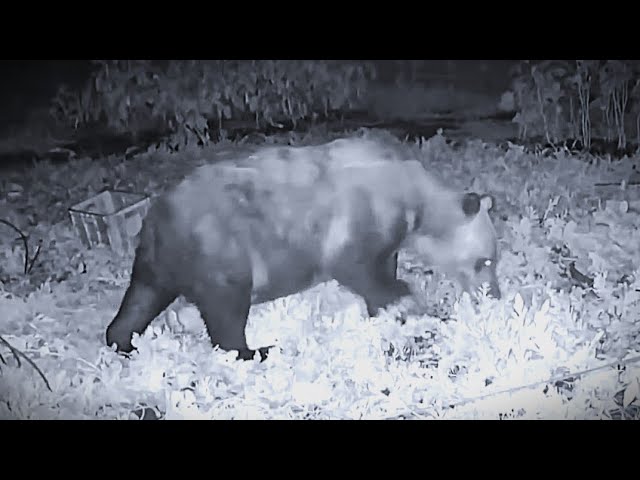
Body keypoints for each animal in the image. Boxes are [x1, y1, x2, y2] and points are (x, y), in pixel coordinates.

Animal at [106, 135, 500, 361]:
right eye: (484, 262)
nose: (493, 295)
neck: (415, 200)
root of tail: (157, 219)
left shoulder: (387, 231)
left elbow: (381, 266)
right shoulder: (358, 214)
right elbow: (357, 267)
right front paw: (409, 303)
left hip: (159, 260)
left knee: (140, 299)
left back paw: (124, 341)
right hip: (222, 250)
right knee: (226, 312)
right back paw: (259, 349)